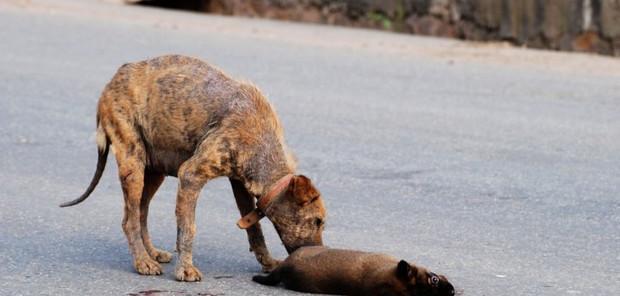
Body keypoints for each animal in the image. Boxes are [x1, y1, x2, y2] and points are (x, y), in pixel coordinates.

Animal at [60, 55, 326, 282]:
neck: (262, 143)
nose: (318, 255)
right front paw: (185, 269)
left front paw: (268, 262)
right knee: (129, 219)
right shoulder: (190, 175)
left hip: (154, 171)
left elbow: (255, 230)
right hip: (132, 163)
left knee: (141, 212)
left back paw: (152, 253)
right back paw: (142, 261)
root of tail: (114, 78)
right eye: (318, 221)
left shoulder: (239, 184)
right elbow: (188, 229)